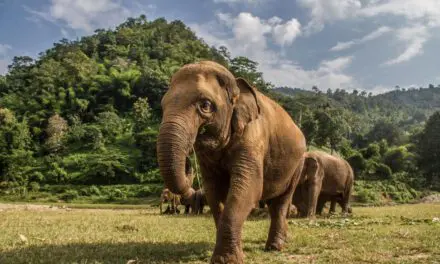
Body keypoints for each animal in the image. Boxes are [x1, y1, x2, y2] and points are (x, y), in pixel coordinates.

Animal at [157, 60, 306, 264]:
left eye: (205, 105)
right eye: (162, 106)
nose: (188, 160)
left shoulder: (253, 138)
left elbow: (248, 188)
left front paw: (227, 260)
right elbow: (214, 191)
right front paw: (230, 255)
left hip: (298, 165)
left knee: (281, 202)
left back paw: (275, 247)